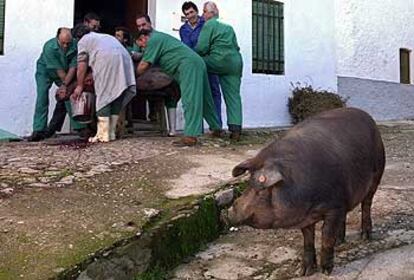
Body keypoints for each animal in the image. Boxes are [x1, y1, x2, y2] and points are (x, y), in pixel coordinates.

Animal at [226, 107, 384, 276]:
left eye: (259, 188)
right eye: (248, 182)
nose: (228, 211)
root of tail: (366, 115)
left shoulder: (334, 206)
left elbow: (326, 236)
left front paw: (326, 271)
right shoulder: (307, 214)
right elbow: (307, 239)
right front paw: (304, 272)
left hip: (377, 174)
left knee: (366, 205)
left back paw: (365, 237)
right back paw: (340, 242)